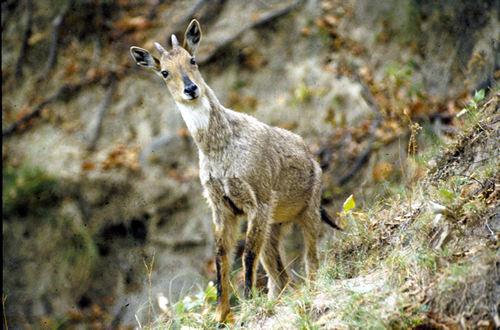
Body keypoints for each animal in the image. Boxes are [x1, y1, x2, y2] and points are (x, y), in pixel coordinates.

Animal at [130, 18, 340, 322]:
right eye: (164, 72)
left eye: (192, 59)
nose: (190, 89)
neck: (221, 149)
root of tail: (311, 157)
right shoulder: (221, 207)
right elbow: (221, 256)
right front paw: (222, 314)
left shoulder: (258, 200)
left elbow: (246, 255)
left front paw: (248, 304)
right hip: (275, 225)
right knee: (280, 274)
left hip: (308, 210)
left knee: (310, 258)